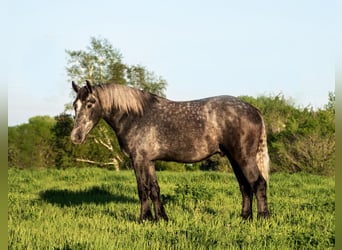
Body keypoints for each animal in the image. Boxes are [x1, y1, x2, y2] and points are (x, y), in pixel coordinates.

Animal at [71, 80, 270, 221]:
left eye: (90, 103)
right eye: (75, 105)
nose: (75, 137)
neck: (135, 117)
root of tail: (254, 110)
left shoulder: (138, 160)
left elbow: (142, 189)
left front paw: (144, 218)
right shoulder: (149, 161)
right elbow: (154, 189)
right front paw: (162, 218)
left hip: (244, 158)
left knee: (258, 183)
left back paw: (262, 218)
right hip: (234, 159)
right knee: (245, 186)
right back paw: (244, 217)